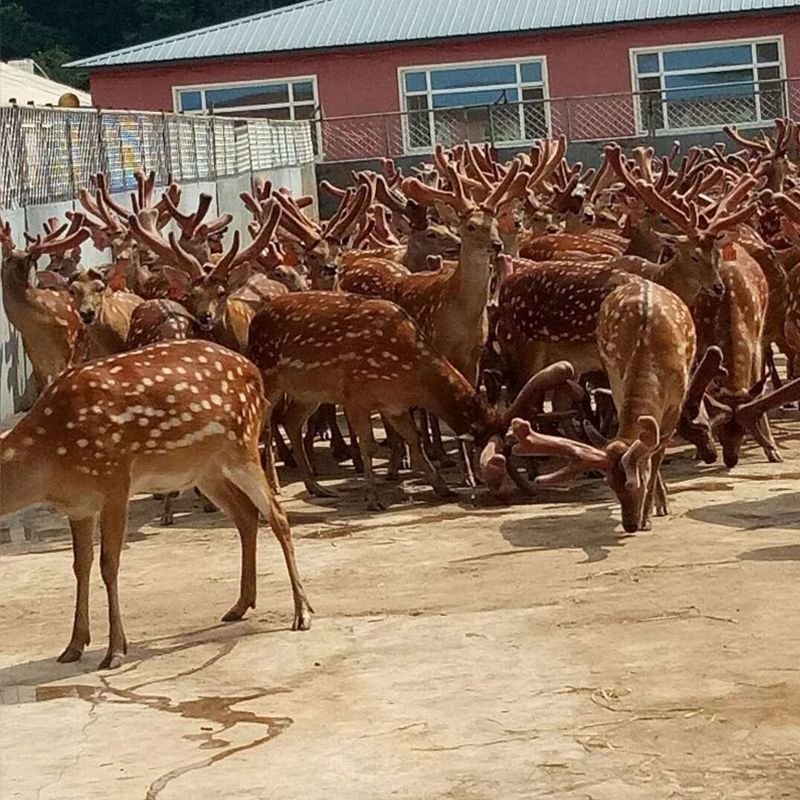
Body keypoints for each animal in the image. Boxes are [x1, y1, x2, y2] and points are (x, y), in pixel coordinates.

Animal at [0, 340, 312, 672]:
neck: (49, 456)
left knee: (277, 514)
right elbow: (80, 566)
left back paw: (302, 613)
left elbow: (109, 565)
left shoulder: (115, 482)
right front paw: (74, 646)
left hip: (241, 444)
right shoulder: (79, 505)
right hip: (206, 469)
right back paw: (240, 605)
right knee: (246, 514)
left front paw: (115, 651)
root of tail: (253, 371)